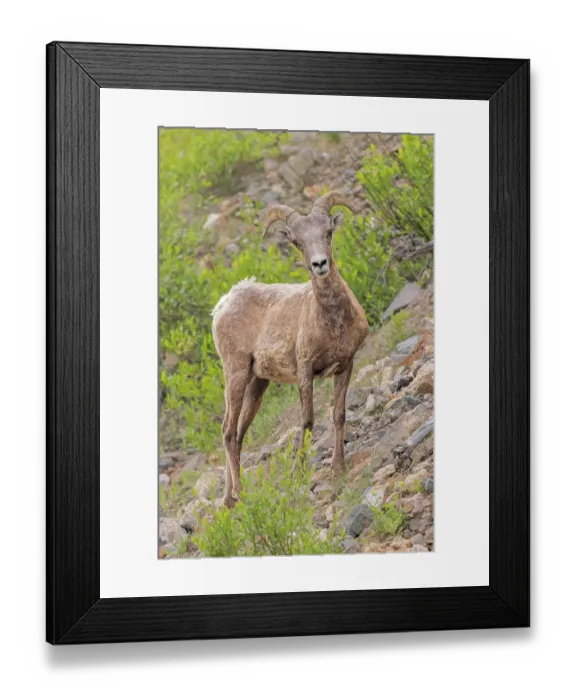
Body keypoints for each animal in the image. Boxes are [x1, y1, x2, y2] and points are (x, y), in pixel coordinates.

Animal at [212, 191, 369, 508]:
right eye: (297, 242)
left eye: (328, 232)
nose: (319, 264)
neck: (332, 322)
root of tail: (224, 304)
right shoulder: (305, 370)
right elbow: (307, 420)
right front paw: (299, 474)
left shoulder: (346, 365)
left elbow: (339, 414)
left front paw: (338, 469)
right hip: (236, 374)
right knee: (227, 431)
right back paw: (240, 496)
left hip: (257, 384)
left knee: (238, 434)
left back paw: (229, 499)